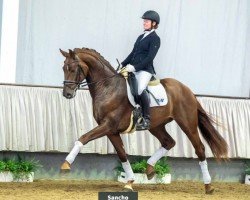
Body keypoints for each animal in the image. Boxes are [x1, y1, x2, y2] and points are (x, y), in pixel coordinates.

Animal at [59, 47, 228, 194]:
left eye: (73, 69)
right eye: (63, 68)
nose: (67, 94)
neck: (108, 87)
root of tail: (188, 90)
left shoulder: (108, 125)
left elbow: (83, 138)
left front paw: (66, 164)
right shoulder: (111, 130)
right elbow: (122, 155)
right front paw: (129, 182)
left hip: (187, 124)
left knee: (199, 148)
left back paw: (208, 186)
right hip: (156, 126)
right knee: (169, 142)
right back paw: (150, 169)